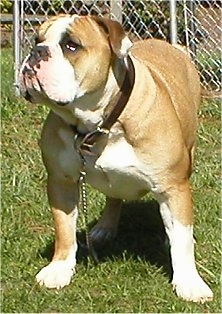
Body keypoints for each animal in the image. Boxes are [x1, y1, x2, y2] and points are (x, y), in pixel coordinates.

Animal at [19, 14, 213, 302]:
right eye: (36, 40)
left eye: (71, 46)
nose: (37, 52)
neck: (100, 124)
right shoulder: (61, 182)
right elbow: (64, 230)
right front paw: (59, 269)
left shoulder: (173, 188)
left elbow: (182, 237)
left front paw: (189, 282)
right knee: (114, 196)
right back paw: (104, 228)